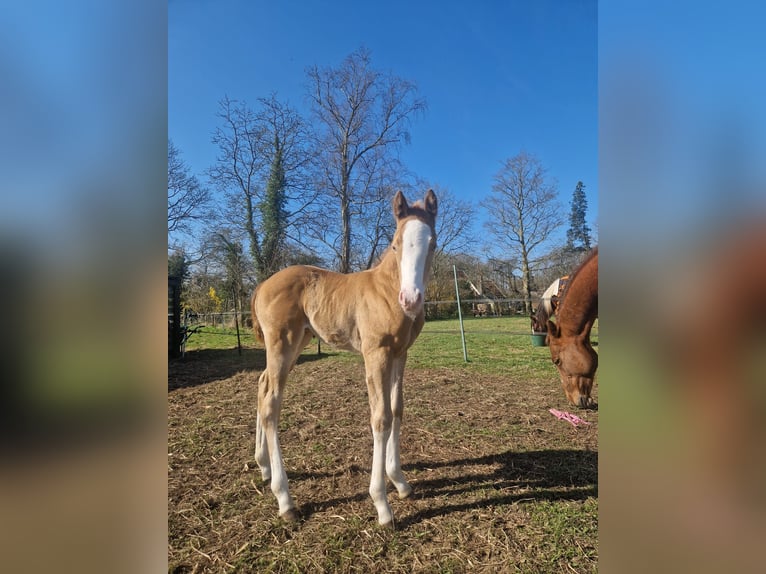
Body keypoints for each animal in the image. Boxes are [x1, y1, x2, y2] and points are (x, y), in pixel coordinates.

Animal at [250, 189, 437, 528]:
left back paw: (264, 467)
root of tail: (262, 285)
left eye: (433, 244)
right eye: (395, 244)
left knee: (262, 385)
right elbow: (381, 417)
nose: (411, 300)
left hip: (297, 343)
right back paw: (285, 499)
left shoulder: (400, 353)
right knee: (271, 400)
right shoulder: (375, 353)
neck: (387, 290)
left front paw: (400, 481)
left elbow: (397, 409)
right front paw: (382, 505)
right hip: (282, 343)